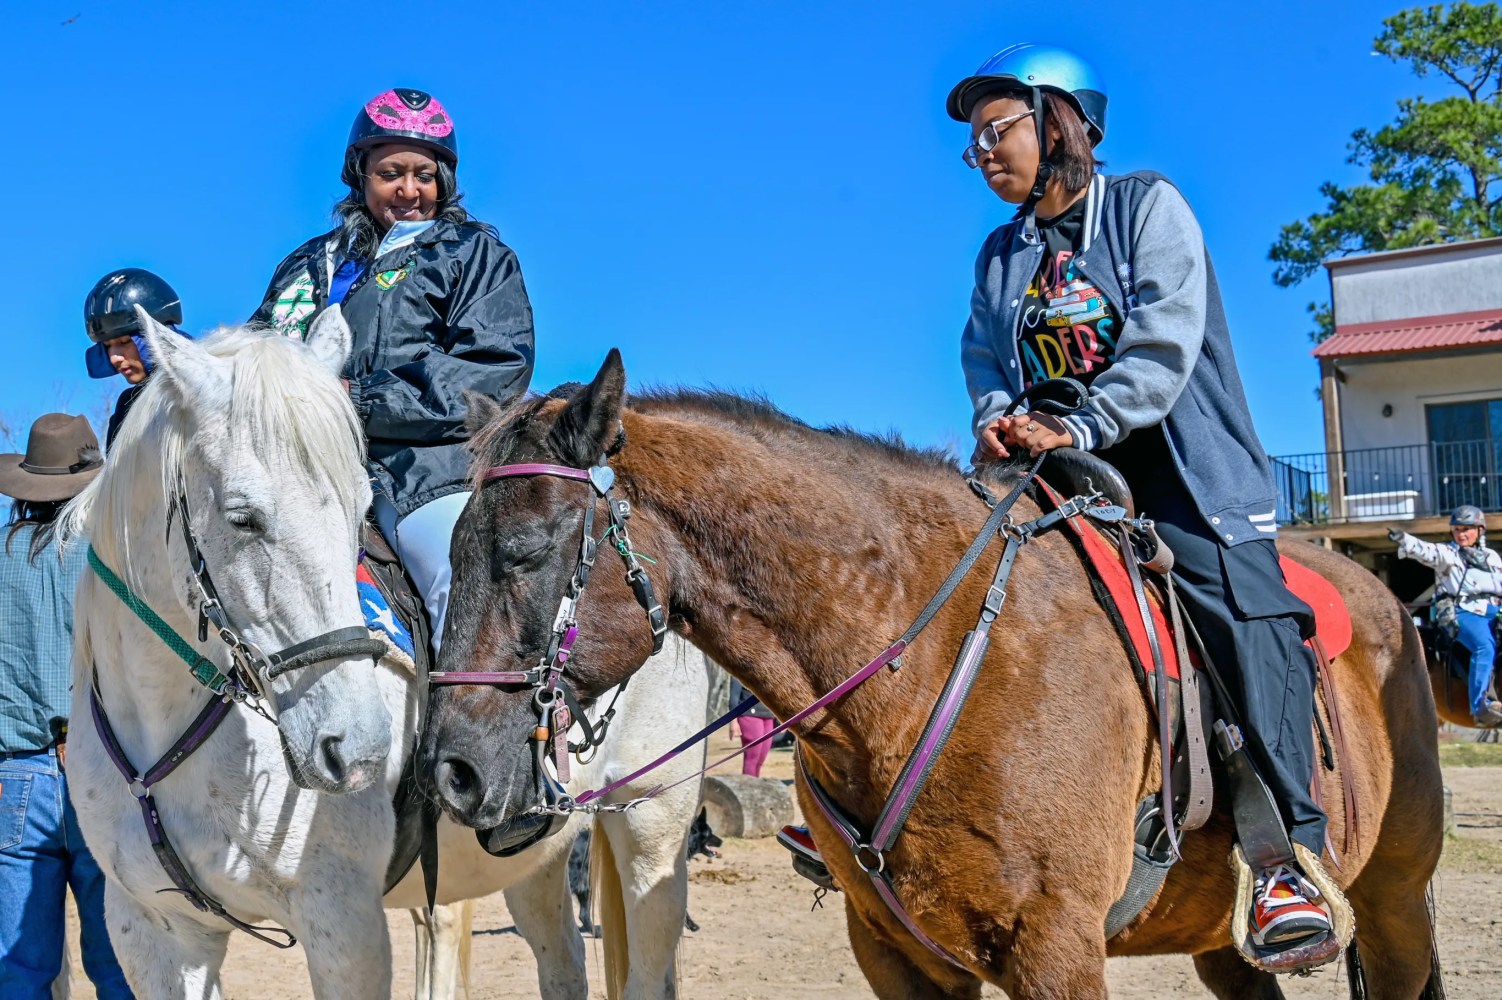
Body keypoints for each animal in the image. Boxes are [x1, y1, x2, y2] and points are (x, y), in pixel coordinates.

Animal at [64, 315, 708, 999]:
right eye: (242, 518)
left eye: (356, 509)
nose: (359, 747)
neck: (163, 731)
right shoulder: (154, 934)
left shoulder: (343, 925)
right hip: (535, 859)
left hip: (652, 828)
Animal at [422, 350, 1446, 1000]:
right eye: (454, 551)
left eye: (522, 552)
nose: (453, 771)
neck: (920, 672)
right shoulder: (899, 956)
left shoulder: (1056, 953)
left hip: (1393, 899)